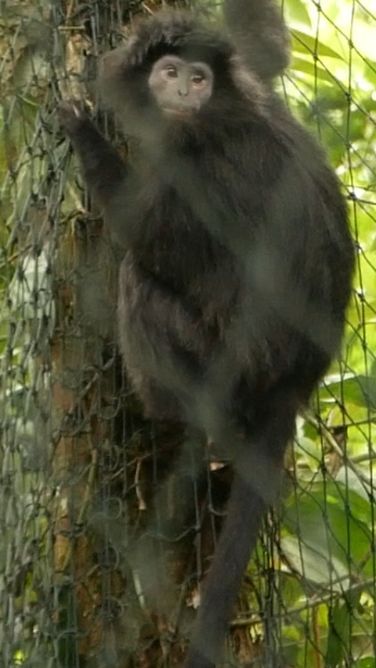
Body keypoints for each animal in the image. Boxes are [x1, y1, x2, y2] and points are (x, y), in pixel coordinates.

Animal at [57, 2, 354, 664]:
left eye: (198, 78)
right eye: (171, 72)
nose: (184, 92)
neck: (224, 109)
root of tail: (294, 382)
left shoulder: (196, 160)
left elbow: (151, 235)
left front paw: (84, 133)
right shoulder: (252, 80)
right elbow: (266, 48)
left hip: (217, 358)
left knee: (139, 278)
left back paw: (164, 411)